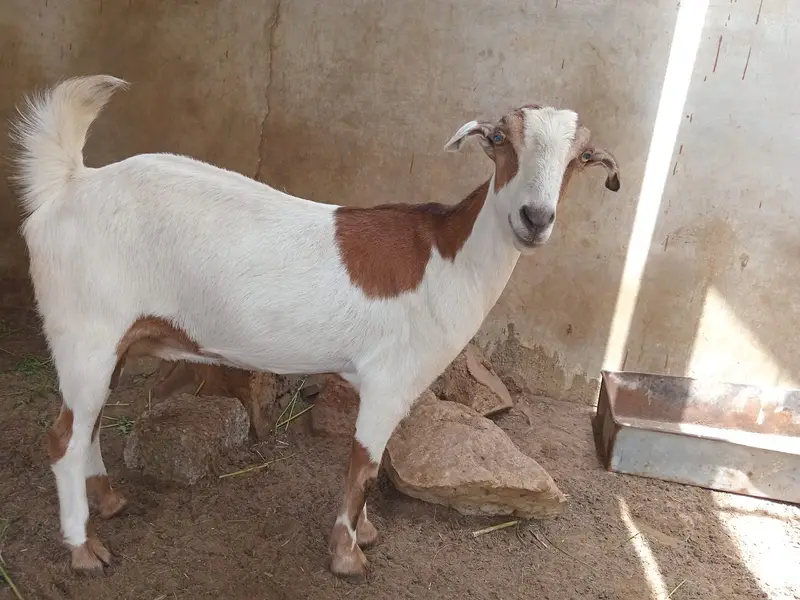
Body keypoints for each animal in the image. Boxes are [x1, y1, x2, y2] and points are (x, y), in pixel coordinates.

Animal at [10, 75, 620, 579]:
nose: (534, 218)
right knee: (62, 438)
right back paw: (84, 550)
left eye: (582, 157)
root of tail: (68, 186)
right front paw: (347, 554)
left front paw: (365, 532)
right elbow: (365, 466)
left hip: (106, 342)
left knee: (86, 424)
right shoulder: (389, 382)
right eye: (498, 140)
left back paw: (108, 501)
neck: (449, 258)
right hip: (85, 331)